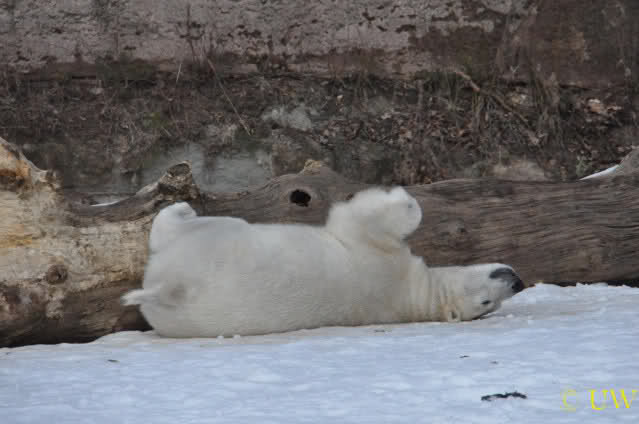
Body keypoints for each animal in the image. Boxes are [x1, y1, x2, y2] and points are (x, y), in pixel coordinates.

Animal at [123, 187, 524, 337]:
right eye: (487, 302)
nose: (516, 281)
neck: (413, 294)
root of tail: (171, 290)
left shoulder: (377, 256)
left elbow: (356, 219)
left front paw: (401, 197)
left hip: (214, 246)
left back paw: (179, 209)